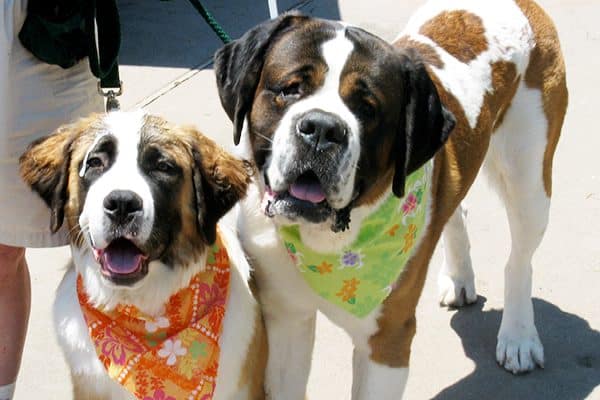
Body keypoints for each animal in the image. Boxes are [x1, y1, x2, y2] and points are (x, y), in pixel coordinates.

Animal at [212, 0, 568, 396]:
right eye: (291, 89)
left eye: (367, 108)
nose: (322, 128)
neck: (324, 247)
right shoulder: (286, 316)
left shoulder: (386, 342)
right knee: (454, 209)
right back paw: (459, 278)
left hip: (529, 178)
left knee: (519, 258)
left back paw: (519, 336)